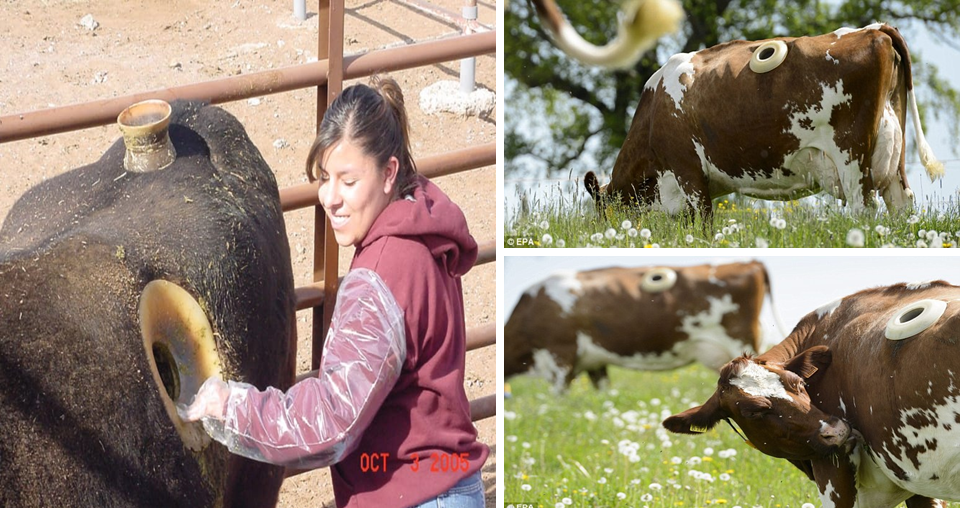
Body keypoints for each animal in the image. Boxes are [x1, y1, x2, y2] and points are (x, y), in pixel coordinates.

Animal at [585, 24, 944, 219]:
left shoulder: (688, 172)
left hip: (853, 156)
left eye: (602, 214)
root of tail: (874, 29)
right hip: (893, 153)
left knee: (863, 207)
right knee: (900, 204)